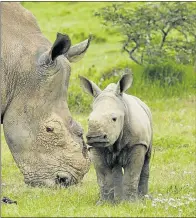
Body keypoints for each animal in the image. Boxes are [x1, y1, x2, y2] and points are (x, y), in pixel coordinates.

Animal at [80, 74, 153, 204]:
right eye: (88, 119)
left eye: (114, 119)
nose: (95, 137)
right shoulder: (95, 147)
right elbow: (103, 176)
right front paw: (104, 203)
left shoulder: (138, 143)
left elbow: (132, 174)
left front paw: (131, 203)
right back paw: (118, 200)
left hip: (149, 120)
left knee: (147, 159)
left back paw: (143, 198)